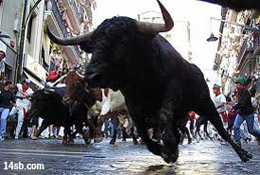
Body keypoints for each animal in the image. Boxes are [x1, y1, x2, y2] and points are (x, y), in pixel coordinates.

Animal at [46, 0, 252, 163]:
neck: (143, 80)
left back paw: (243, 153)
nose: (91, 76)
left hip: (205, 104)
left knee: (221, 129)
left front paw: (169, 150)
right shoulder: (132, 104)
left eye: (124, 40)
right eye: (93, 45)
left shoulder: (173, 90)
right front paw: (163, 149)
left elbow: (163, 115)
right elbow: (142, 130)